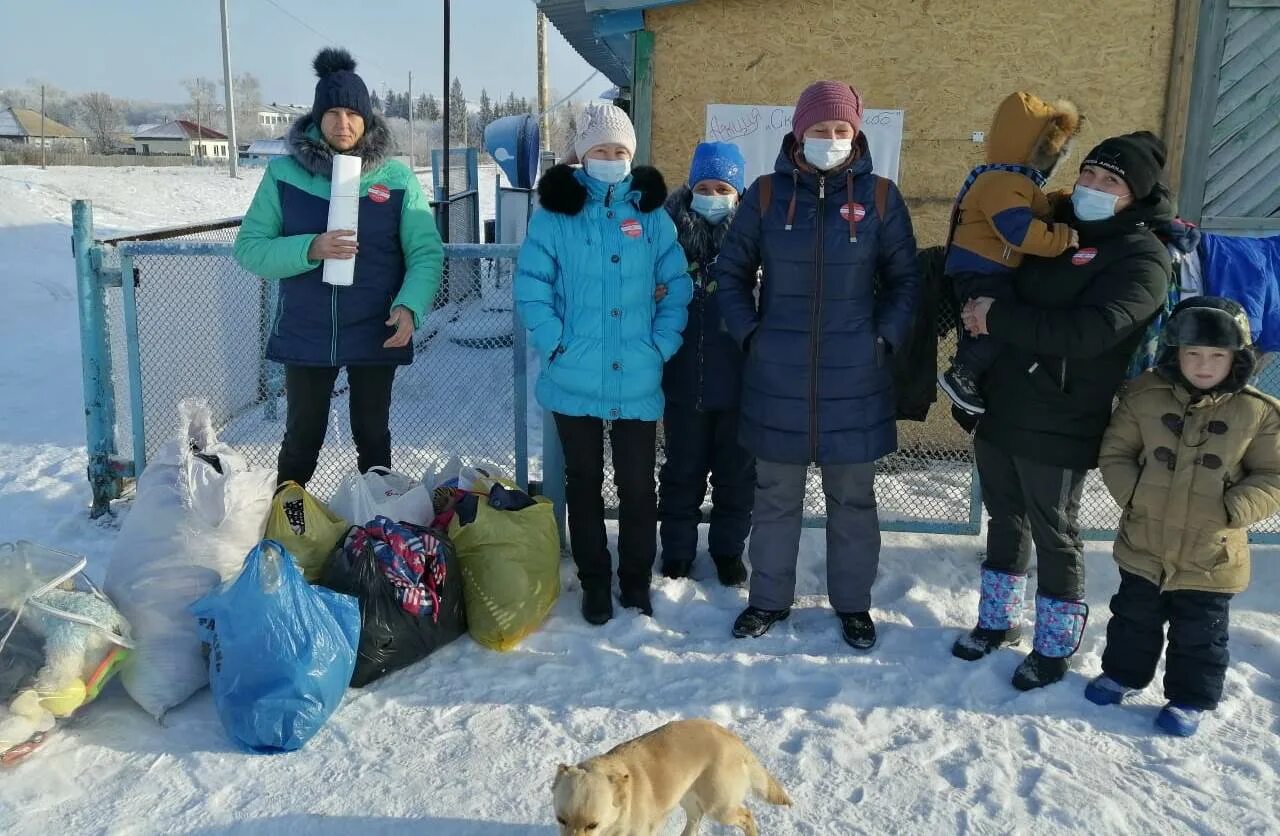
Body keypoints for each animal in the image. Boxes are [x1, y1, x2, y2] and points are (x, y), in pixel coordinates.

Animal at [552, 716, 788, 834]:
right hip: (687, 795)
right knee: (695, 819)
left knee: (747, 816)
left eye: (592, 825)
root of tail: (734, 739)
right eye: (560, 820)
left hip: (720, 807)